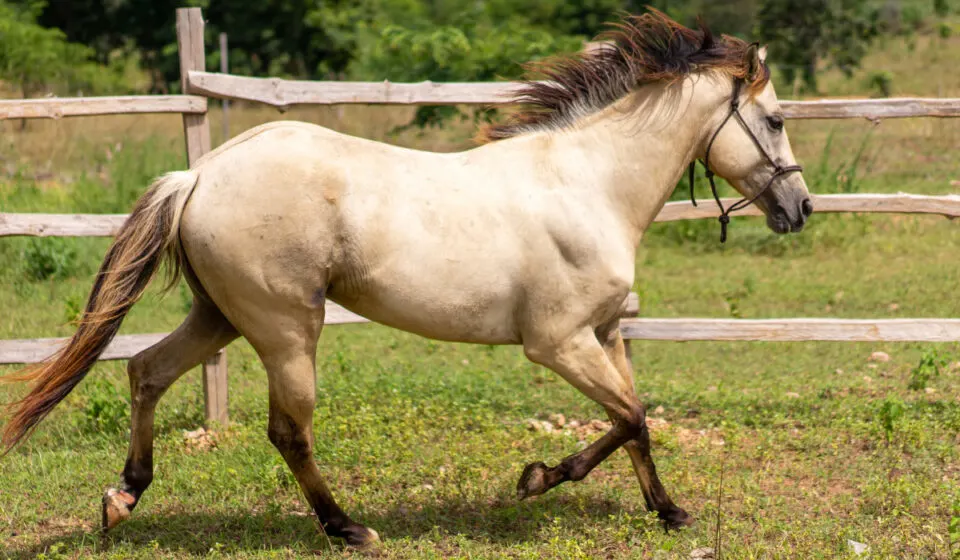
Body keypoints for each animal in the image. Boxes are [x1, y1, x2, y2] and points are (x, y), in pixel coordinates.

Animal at [1, 11, 810, 547]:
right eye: (773, 120)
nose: (799, 209)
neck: (588, 184)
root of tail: (197, 174)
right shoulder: (557, 343)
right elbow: (632, 417)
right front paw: (538, 479)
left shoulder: (604, 334)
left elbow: (632, 421)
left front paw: (664, 510)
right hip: (286, 327)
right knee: (287, 429)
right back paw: (346, 527)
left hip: (220, 316)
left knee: (145, 370)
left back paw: (122, 498)